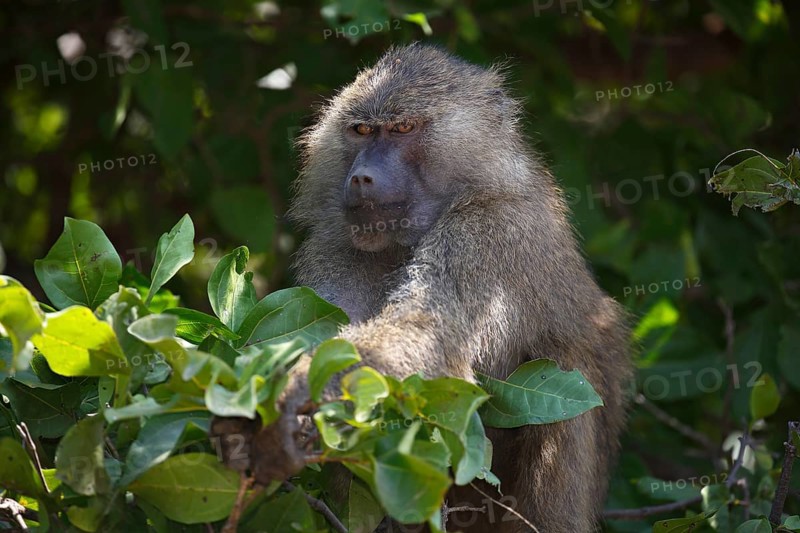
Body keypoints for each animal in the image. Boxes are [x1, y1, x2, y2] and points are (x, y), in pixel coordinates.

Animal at [214, 43, 632, 533]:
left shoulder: (486, 235)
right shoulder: (339, 248)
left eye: (403, 128)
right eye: (361, 130)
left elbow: (425, 334)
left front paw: (292, 394)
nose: (362, 176)